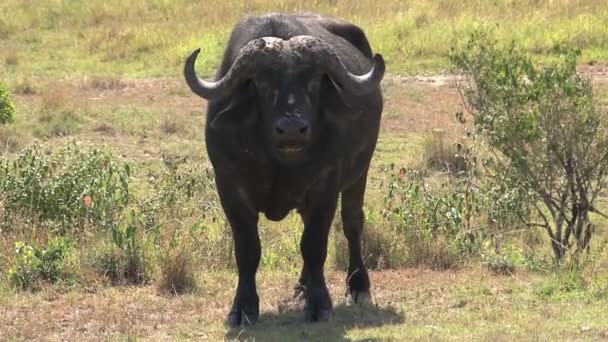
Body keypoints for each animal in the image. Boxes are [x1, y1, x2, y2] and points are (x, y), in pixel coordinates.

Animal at [185, 11, 384, 326]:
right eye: (262, 83)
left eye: (313, 81)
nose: (291, 129)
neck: (280, 161)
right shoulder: (229, 187)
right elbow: (247, 250)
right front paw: (242, 308)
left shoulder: (325, 186)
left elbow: (313, 244)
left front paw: (320, 304)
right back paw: (302, 287)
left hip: (360, 171)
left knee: (352, 222)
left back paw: (358, 286)